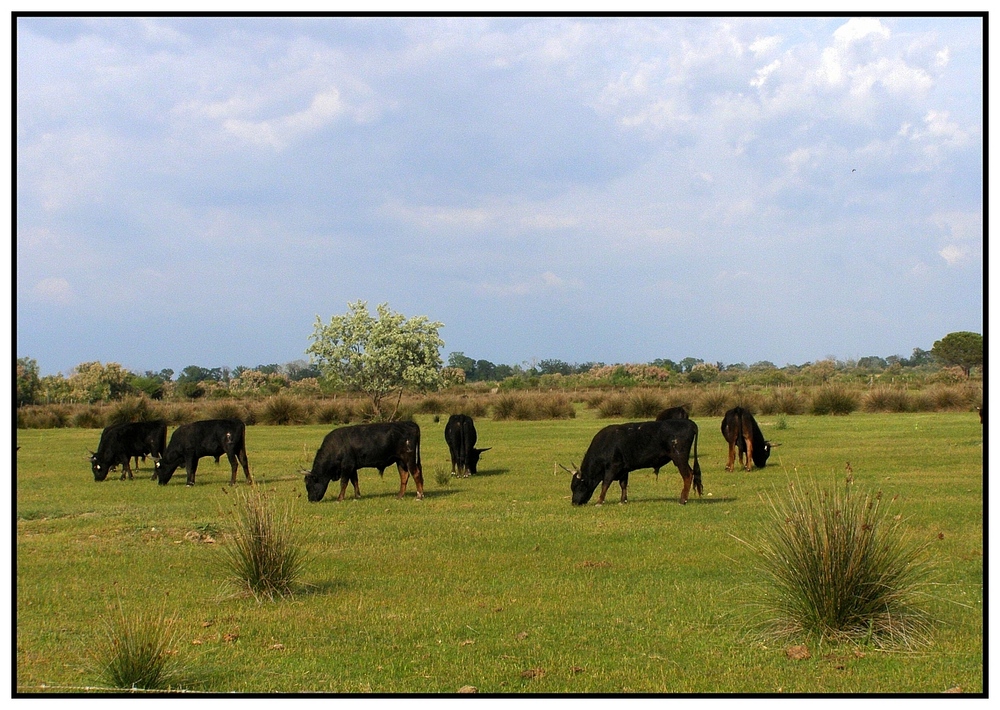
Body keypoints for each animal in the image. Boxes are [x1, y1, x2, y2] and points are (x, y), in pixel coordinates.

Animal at [568, 422, 708, 506]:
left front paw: (599, 501)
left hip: (679, 458)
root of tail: (689, 423)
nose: (574, 502)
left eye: (578, 486)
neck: (605, 444)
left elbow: (605, 484)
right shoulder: (624, 469)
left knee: (688, 475)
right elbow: (623, 484)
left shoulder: (613, 467)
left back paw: (682, 500)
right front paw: (623, 501)